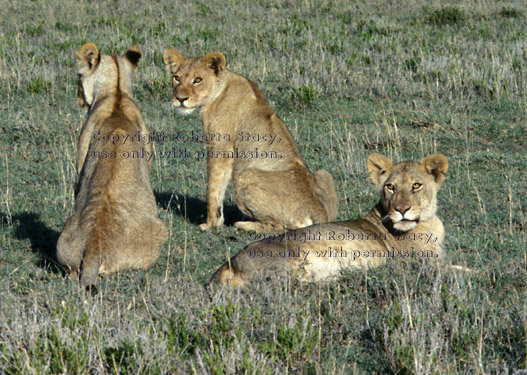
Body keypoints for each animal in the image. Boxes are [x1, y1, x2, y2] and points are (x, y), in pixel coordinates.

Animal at [163, 48, 340, 234]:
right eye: (176, 77)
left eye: (198, 80)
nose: (180, 99)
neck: (220, 88)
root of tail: (319, 213)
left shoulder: (220, 147)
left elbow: (213, 188)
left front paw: (210, 224)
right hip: (324, 173)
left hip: (244, 176)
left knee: (279, 227)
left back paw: (243, 225)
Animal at [212, 153, 452, 288]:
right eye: (390, 187)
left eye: (416, 185)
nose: (401, 209)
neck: (429, 222)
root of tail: (227, 265)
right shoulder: (421, 264)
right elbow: (459, 269)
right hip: (291, 264)